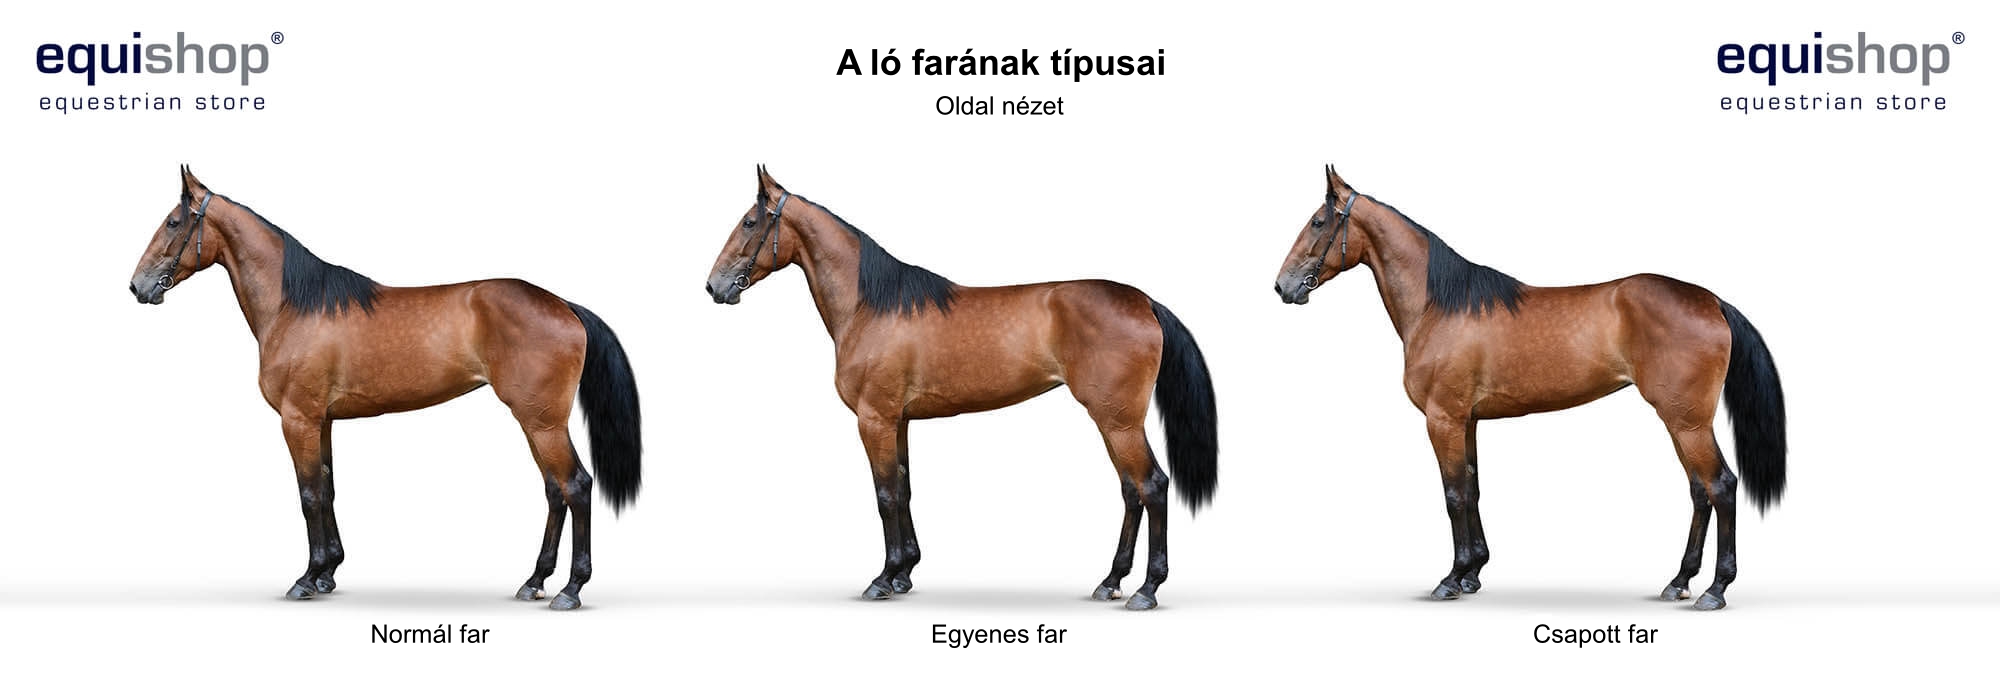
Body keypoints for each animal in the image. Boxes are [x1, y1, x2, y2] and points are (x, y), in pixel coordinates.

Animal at [126, 166, 642, 610]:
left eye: (174, 222)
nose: (137, 286)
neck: (296, 306)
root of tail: (564, 306)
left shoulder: (298, 419)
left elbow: (308, 494)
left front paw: (306, 578)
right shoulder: (322, 421)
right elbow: (328, 489)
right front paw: (328, 573)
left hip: (542, 422)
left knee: (576, 486)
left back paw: (570, 589)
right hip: (536, 423)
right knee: (555, 492)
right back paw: (534, 581)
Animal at [703, 166, 1218, 610]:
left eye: (750, 222)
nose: (714, 286)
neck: (872, 306)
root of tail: (1143, 302)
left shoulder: (874, 419)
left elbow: (884, 494)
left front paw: (882, 579)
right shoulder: (899, 421)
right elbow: (904, 489)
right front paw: (905, 573)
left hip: (1118, 421)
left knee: (1152, 486)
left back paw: (1146, 589)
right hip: (1114, 422)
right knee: (1131, 492)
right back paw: (1111, 581)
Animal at [1272, 165, 1786, 610]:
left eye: (1318, 221)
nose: (1282, 286)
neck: (1440, 306)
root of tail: (1710, 300)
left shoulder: (1443, 419)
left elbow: (1453, 494)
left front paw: (1450, 578)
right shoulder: (1468, 421)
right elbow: (1473, 489)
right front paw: (1473, 572)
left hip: (1686, 421)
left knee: (1720, 486)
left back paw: (1715, 589)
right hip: (1682, 422)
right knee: (1700, 492)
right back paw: (1679, 581)